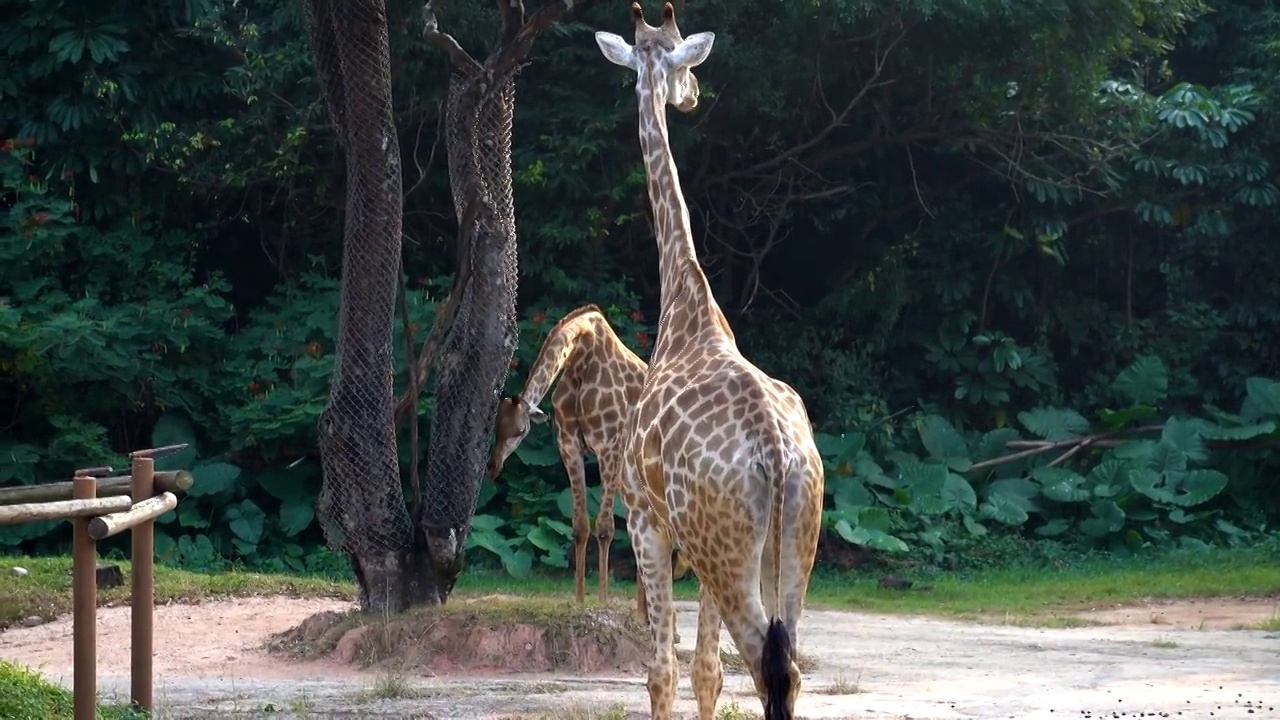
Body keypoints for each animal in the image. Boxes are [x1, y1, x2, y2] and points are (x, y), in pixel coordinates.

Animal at [488, 302, 691, 617]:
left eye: (520, 430)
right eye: (496, 427)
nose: (493, 467)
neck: (582, 356)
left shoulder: (609, 445)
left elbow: (605, 528)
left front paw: (604, 600)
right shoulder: (568, 444)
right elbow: (580, 526)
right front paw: (580, 600)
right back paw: (644, 613)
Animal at [593, 5, 824, 717]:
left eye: (682, 59)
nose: (692, 95)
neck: (686, 304)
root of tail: (777, 454)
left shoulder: (646, 519)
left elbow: (664, 671)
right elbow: (705, 673)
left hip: (720, 546)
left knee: (763, 662)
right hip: (791, 544)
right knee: (786, 665)